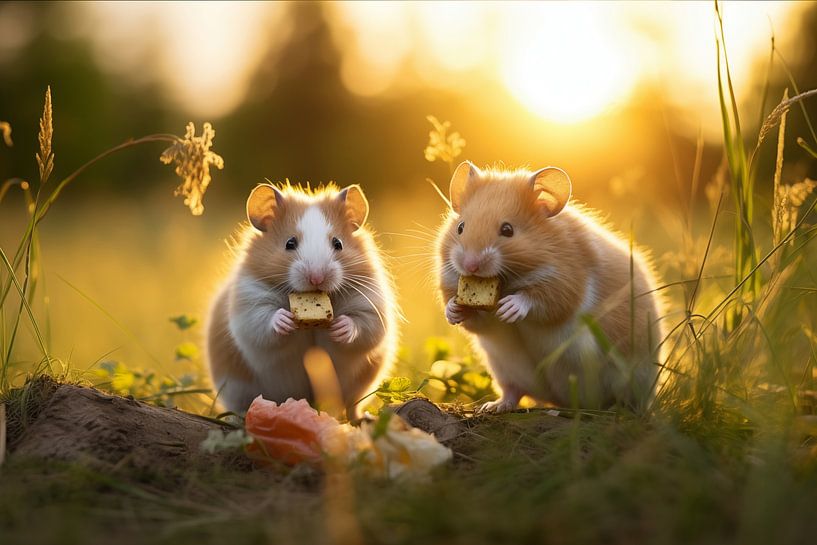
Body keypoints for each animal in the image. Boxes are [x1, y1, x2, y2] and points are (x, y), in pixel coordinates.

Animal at [206, 182, 398, 420]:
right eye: (290, 243)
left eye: (338, 243)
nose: (317, 278)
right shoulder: (249, 306)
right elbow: (264, 324)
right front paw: (285, 320)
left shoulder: (370, 303)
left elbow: (363, 327)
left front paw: (340, 327)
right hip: (237, 389)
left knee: (353, 406)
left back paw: (362, 419)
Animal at [436, 161, 664, 413]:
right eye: (460, 227)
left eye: (507, 230)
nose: (470, 265)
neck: (510, 280)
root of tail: (559, 400)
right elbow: (472, 319)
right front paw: (453, 310)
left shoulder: (567, 283)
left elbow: (539, 300)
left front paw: (509, 308)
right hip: (504, 369)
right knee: (513, 391)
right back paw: (493, 407)